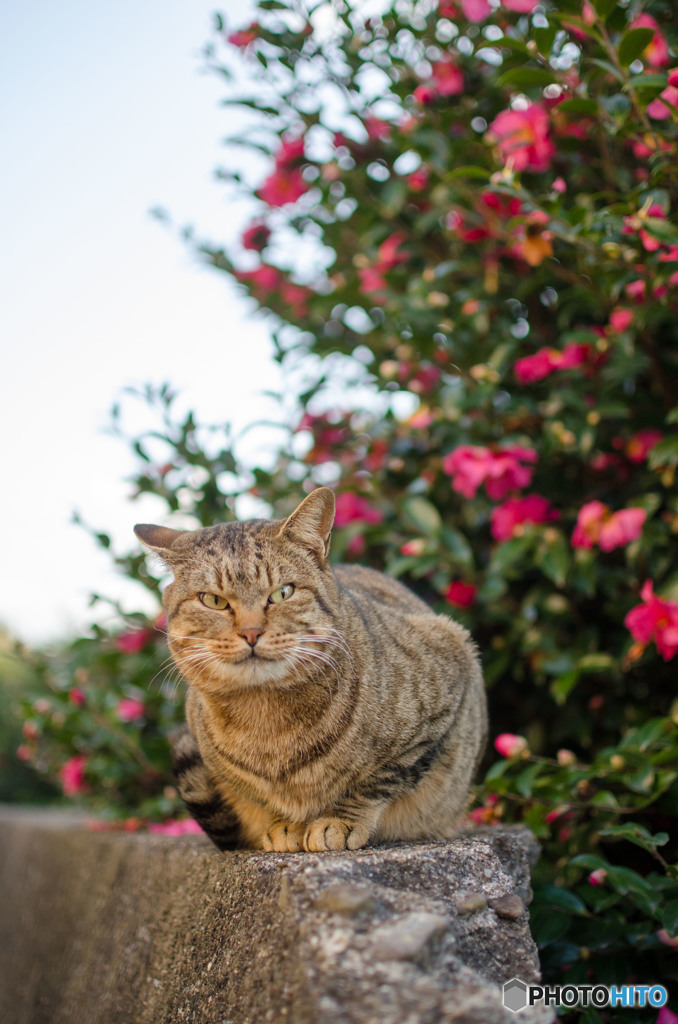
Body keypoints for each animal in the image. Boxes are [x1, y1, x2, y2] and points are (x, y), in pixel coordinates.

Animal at [137, 483, 489, 851]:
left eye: (282, 593)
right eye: (214, 601)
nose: (251, 633)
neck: (266, 717)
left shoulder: (448, 671)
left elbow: (379, 779)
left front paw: (338, 820)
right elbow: (262, 797)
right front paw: (284, 824)